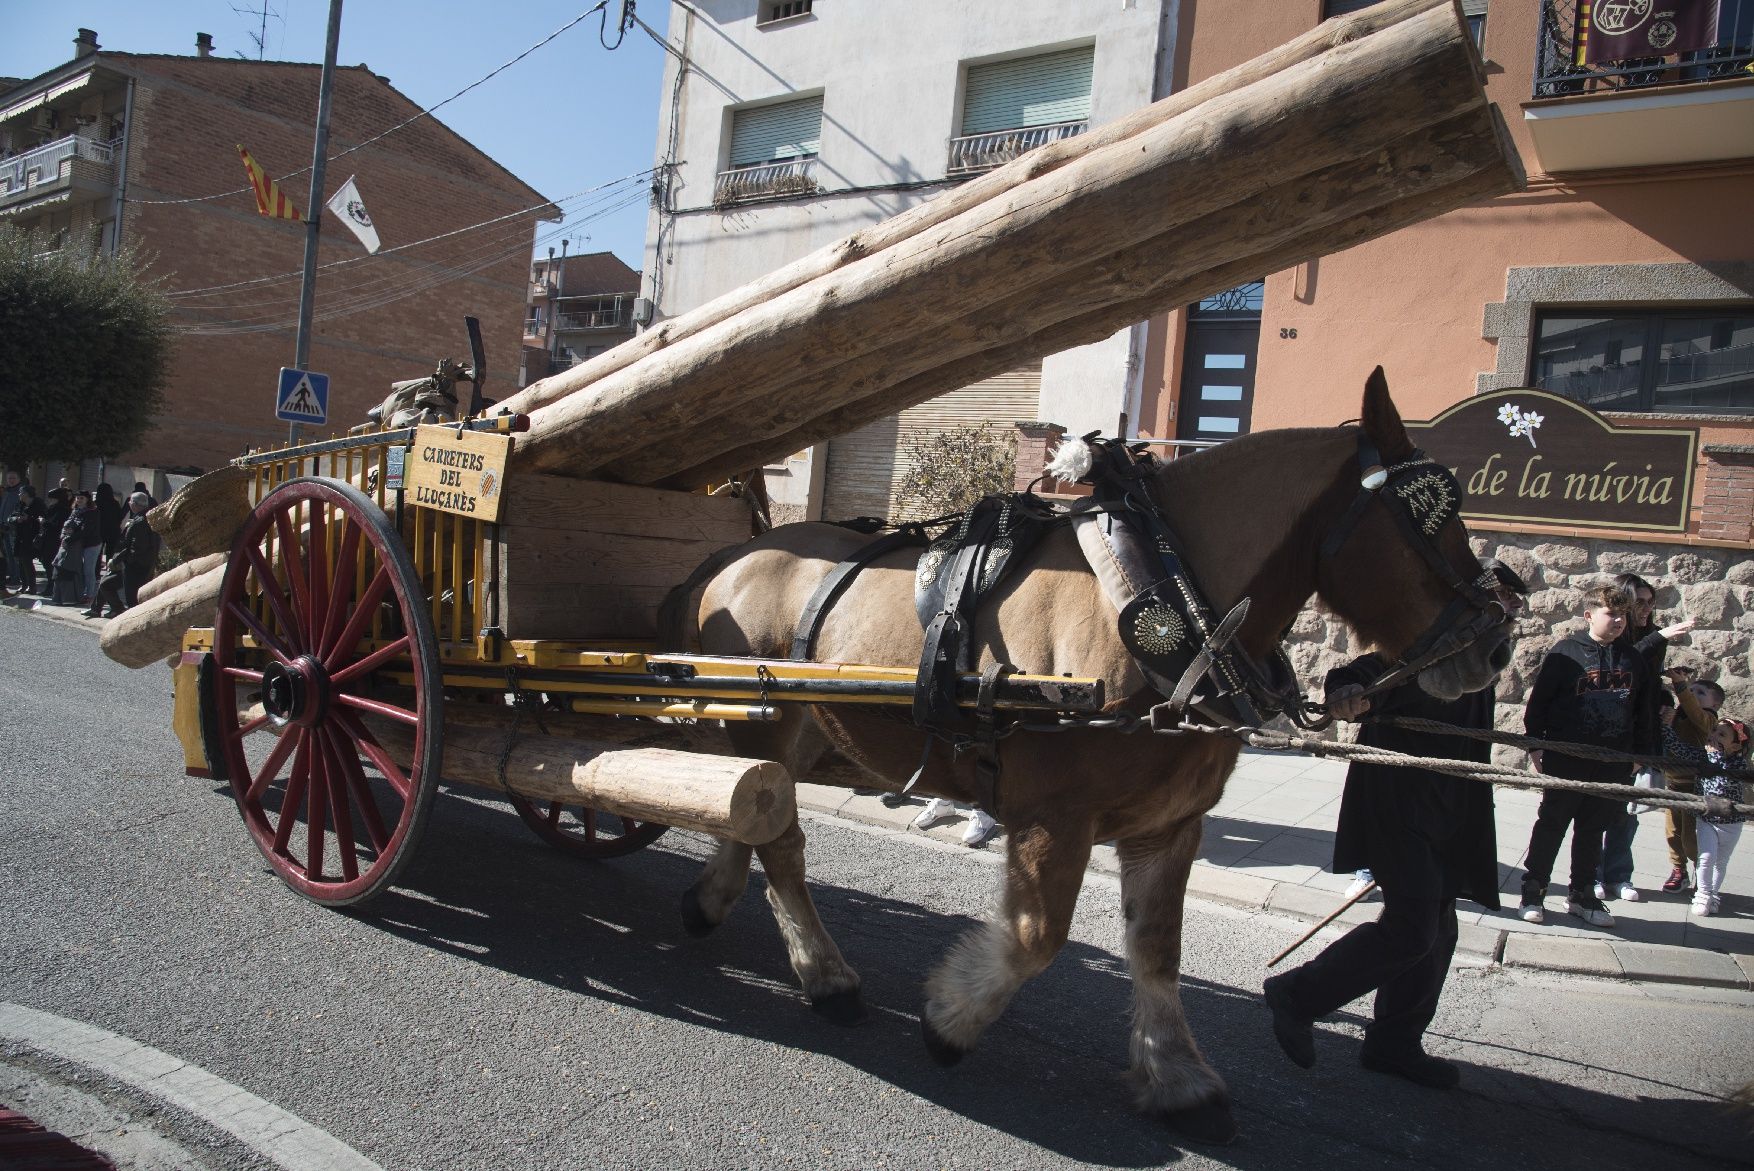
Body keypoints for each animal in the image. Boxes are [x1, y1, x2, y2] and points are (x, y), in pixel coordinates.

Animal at [659, 369, 1508, 1135]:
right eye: (1433, 515)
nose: (1495, 644)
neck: (1164, 594)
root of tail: (732, 558)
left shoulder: (1169, 825)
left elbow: (1157, 948)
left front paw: (1175, 1076)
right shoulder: (1052, 818)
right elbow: (1038, 937)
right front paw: (949, 1017)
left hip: (797, 732)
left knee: (750, 809)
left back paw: (714, 899)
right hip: (767, 718)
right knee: (782, 843)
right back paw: (825, 974)